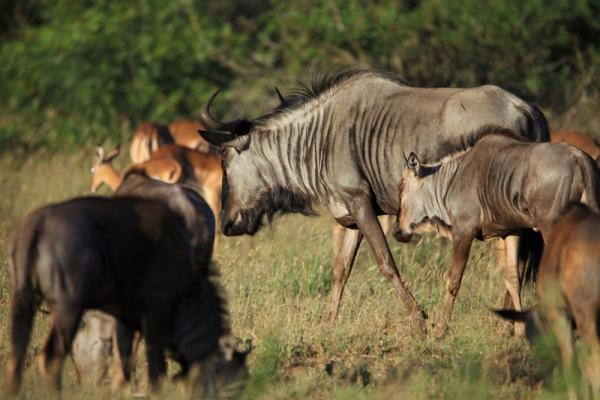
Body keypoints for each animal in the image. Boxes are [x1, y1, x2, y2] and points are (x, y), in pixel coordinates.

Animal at [5, 192, 247, 396]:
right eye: (231, 380)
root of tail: (38, 224)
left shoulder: (124, 319)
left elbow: (125, 363)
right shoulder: (155, 316)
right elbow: (156, 369)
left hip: (22, 301)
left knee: (15, 358)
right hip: (68, 309)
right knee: (50, 358)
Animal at [394, 134, 600, 338]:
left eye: (402, 187)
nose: (397, 232)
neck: (451, 180)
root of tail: (579, 157)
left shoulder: (463, 232)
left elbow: (453, 280)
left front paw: (440, 330)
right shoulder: (511, 232)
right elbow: (513, 277)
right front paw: (518, 331)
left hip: (551, 228)